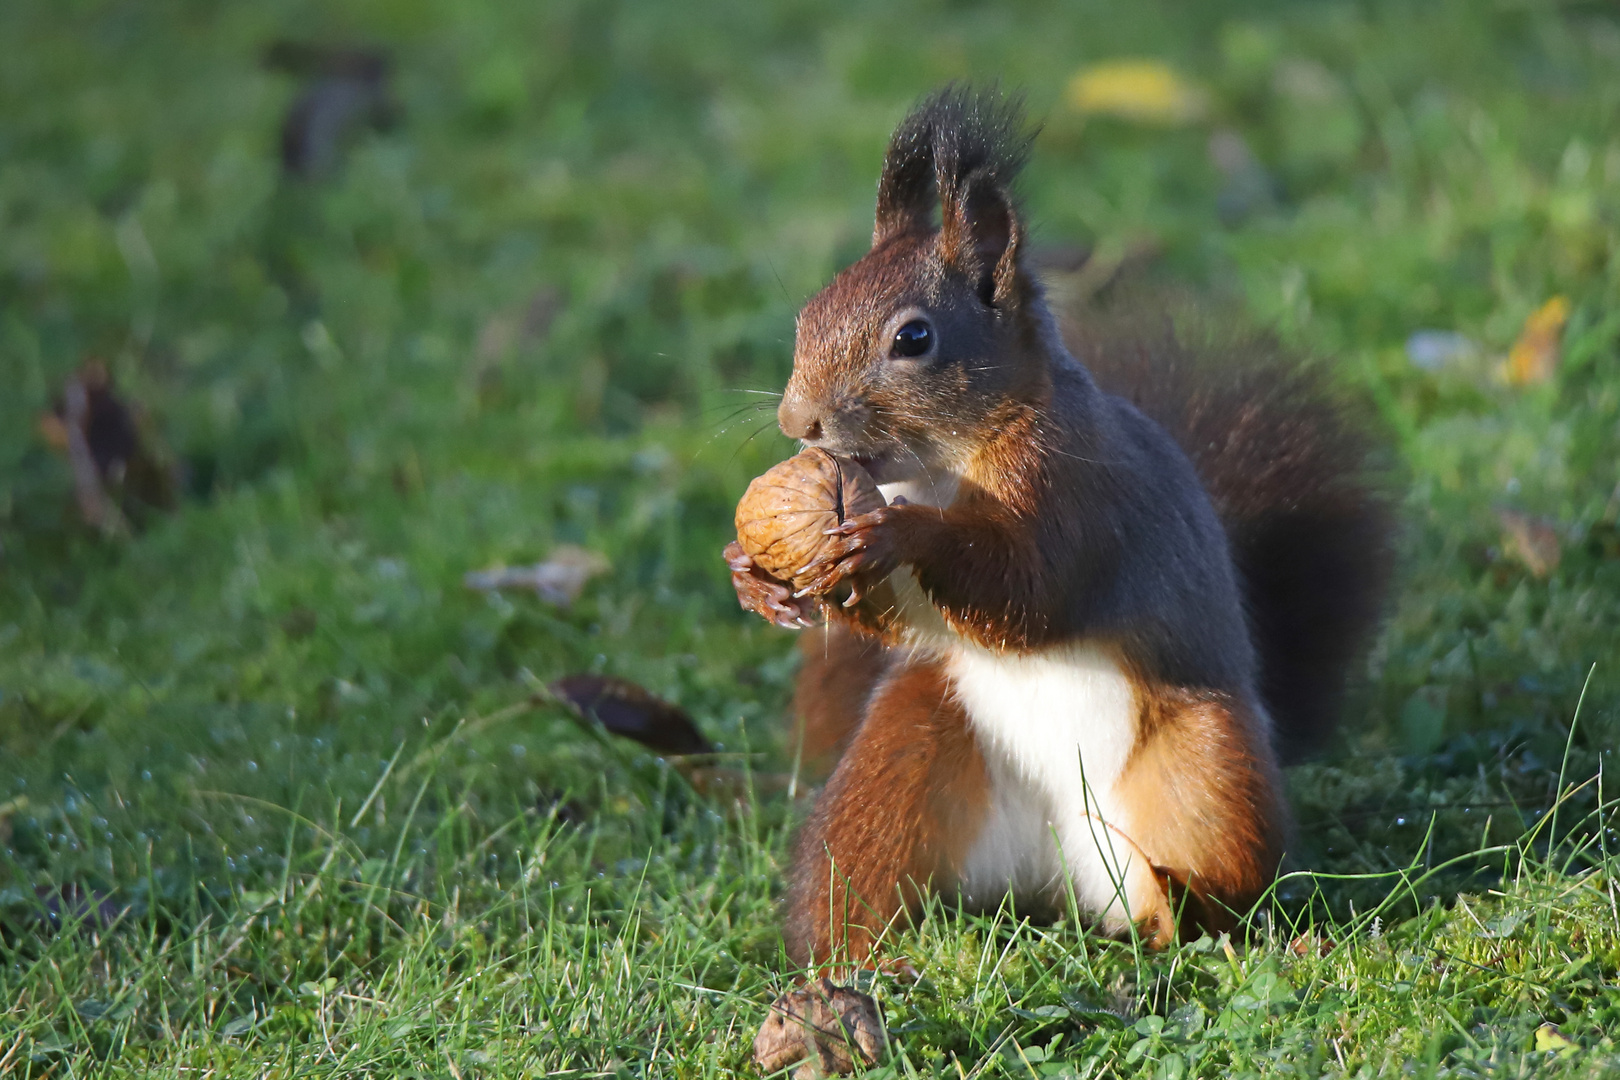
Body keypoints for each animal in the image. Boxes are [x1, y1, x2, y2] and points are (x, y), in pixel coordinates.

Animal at [725, 84, 1393, 965]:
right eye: (808, 314)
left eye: (914, 338)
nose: (797, 422)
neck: (938, 467)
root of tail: (1051, 879)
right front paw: (753, 574)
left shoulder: (1078, 492)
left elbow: (1031, 591)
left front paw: (902, 537)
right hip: (906, 751)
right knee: (855, 876)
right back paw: (849, 961)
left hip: (1206, 767)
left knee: (1218, 878)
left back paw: (1181, 918)